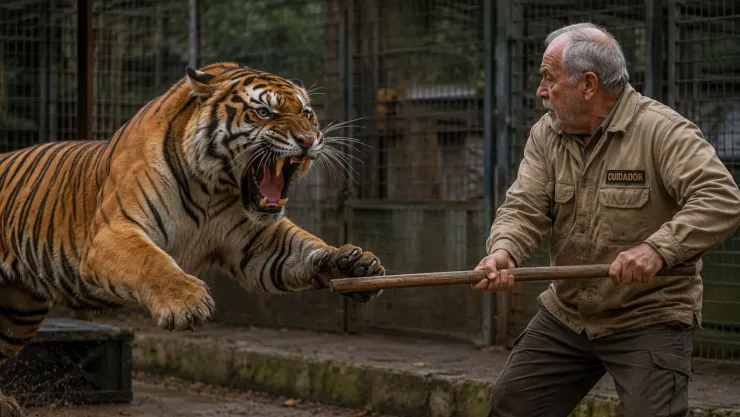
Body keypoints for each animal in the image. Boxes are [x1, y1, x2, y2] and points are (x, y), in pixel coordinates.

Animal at [0, 62, 385, 416]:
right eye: (264, 112)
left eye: (306, 114)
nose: (307, 140)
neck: (214, 188)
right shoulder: (112, 233)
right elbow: (151, 261)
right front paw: (186, 303)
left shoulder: (258, 245)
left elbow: (306, 249)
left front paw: (352, 265)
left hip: (19, 312)